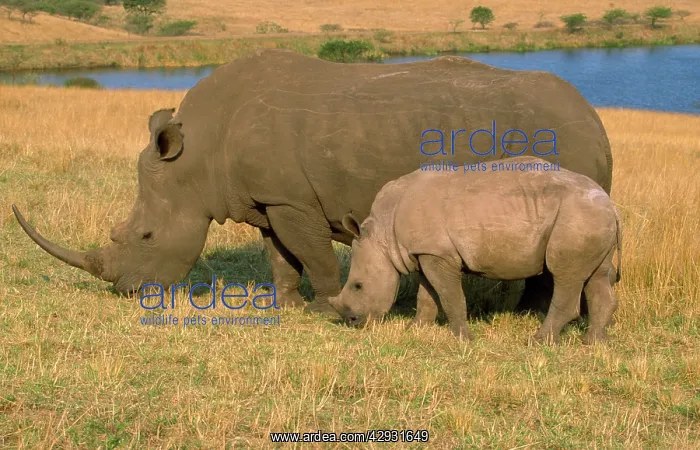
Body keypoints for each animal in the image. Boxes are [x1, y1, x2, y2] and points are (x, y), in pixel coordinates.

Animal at [12, 49, 614, 315]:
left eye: (145, 238)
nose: (127, 292)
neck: (198, 155)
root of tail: (595, 118)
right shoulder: (265, 198)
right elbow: (280, 255)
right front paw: (286, 307)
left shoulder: (293, 199)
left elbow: (314, 254)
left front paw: (328, 307)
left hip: (563, 147)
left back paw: (527, 315)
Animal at [328, 156, 622, 344]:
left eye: (358, 286)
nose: (352, 321)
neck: (383, 234)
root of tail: (612, 207)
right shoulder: (425, 252)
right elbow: (427, 295)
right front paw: (415, 329)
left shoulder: (438, 254)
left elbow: (450, 296)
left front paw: (462, 339)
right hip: (592, 218)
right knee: (596, 276)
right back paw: (594, 343)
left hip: (579, 217)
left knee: (565, 276)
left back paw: (538, 341)